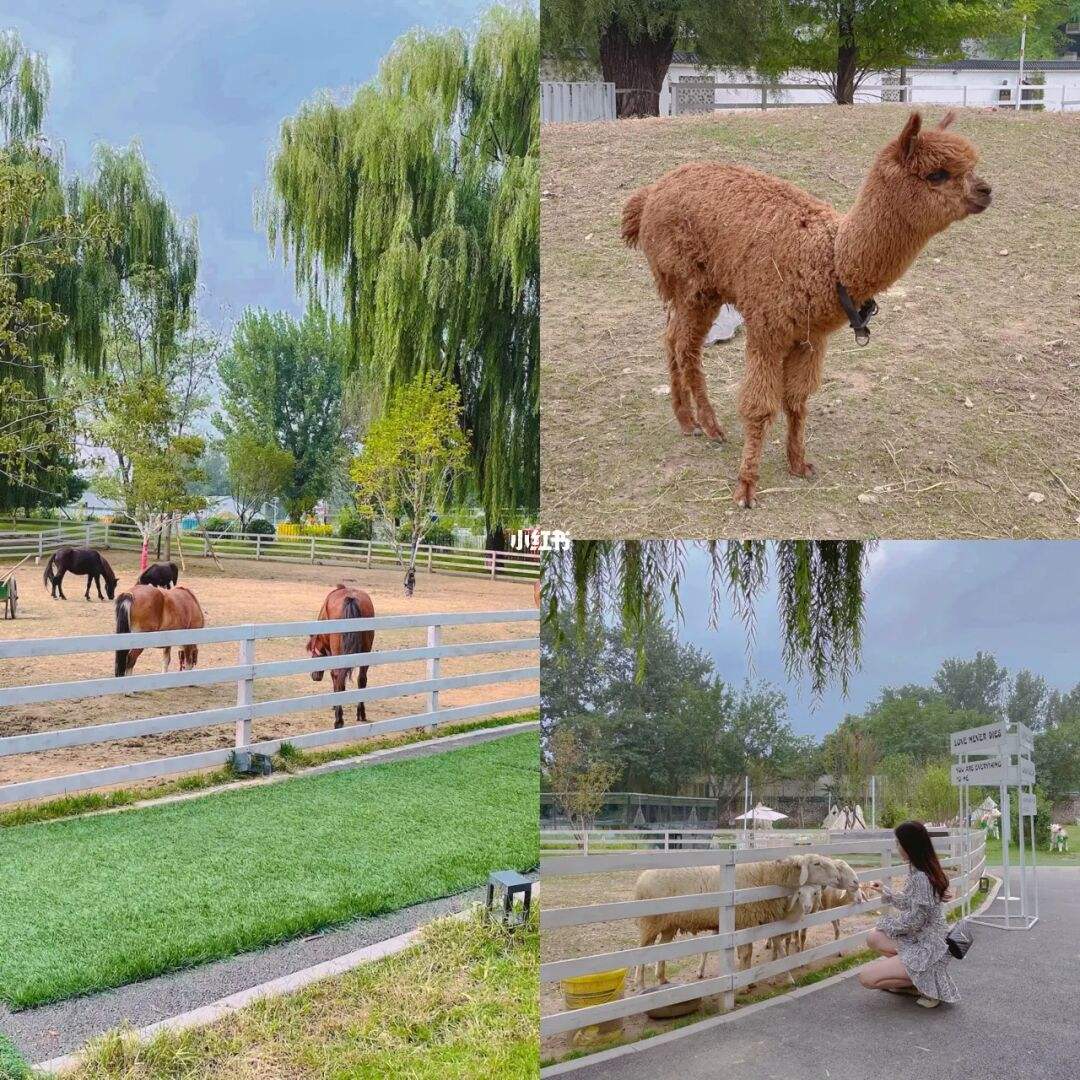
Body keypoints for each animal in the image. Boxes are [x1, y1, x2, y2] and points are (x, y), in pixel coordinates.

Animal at [304, 587, 375, 730]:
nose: (314, 676)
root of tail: (350, 598)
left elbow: (334, 676)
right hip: (365, 653)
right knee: (362, 679)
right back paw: (361, 713)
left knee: (339, 678)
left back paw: (338, 719)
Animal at [630, 855, 851, 989]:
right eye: (817, 864)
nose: (837, 876)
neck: (766, 876)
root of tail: (641, 878)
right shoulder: (743, 921)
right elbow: (746, 953)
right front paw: (746, 981)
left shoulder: (748, 922)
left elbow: (749, 953)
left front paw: (748, 977)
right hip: (650, 922)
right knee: (642, 952)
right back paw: (640, 984)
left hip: (668, 924)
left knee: (661, 949)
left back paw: (662, 979)